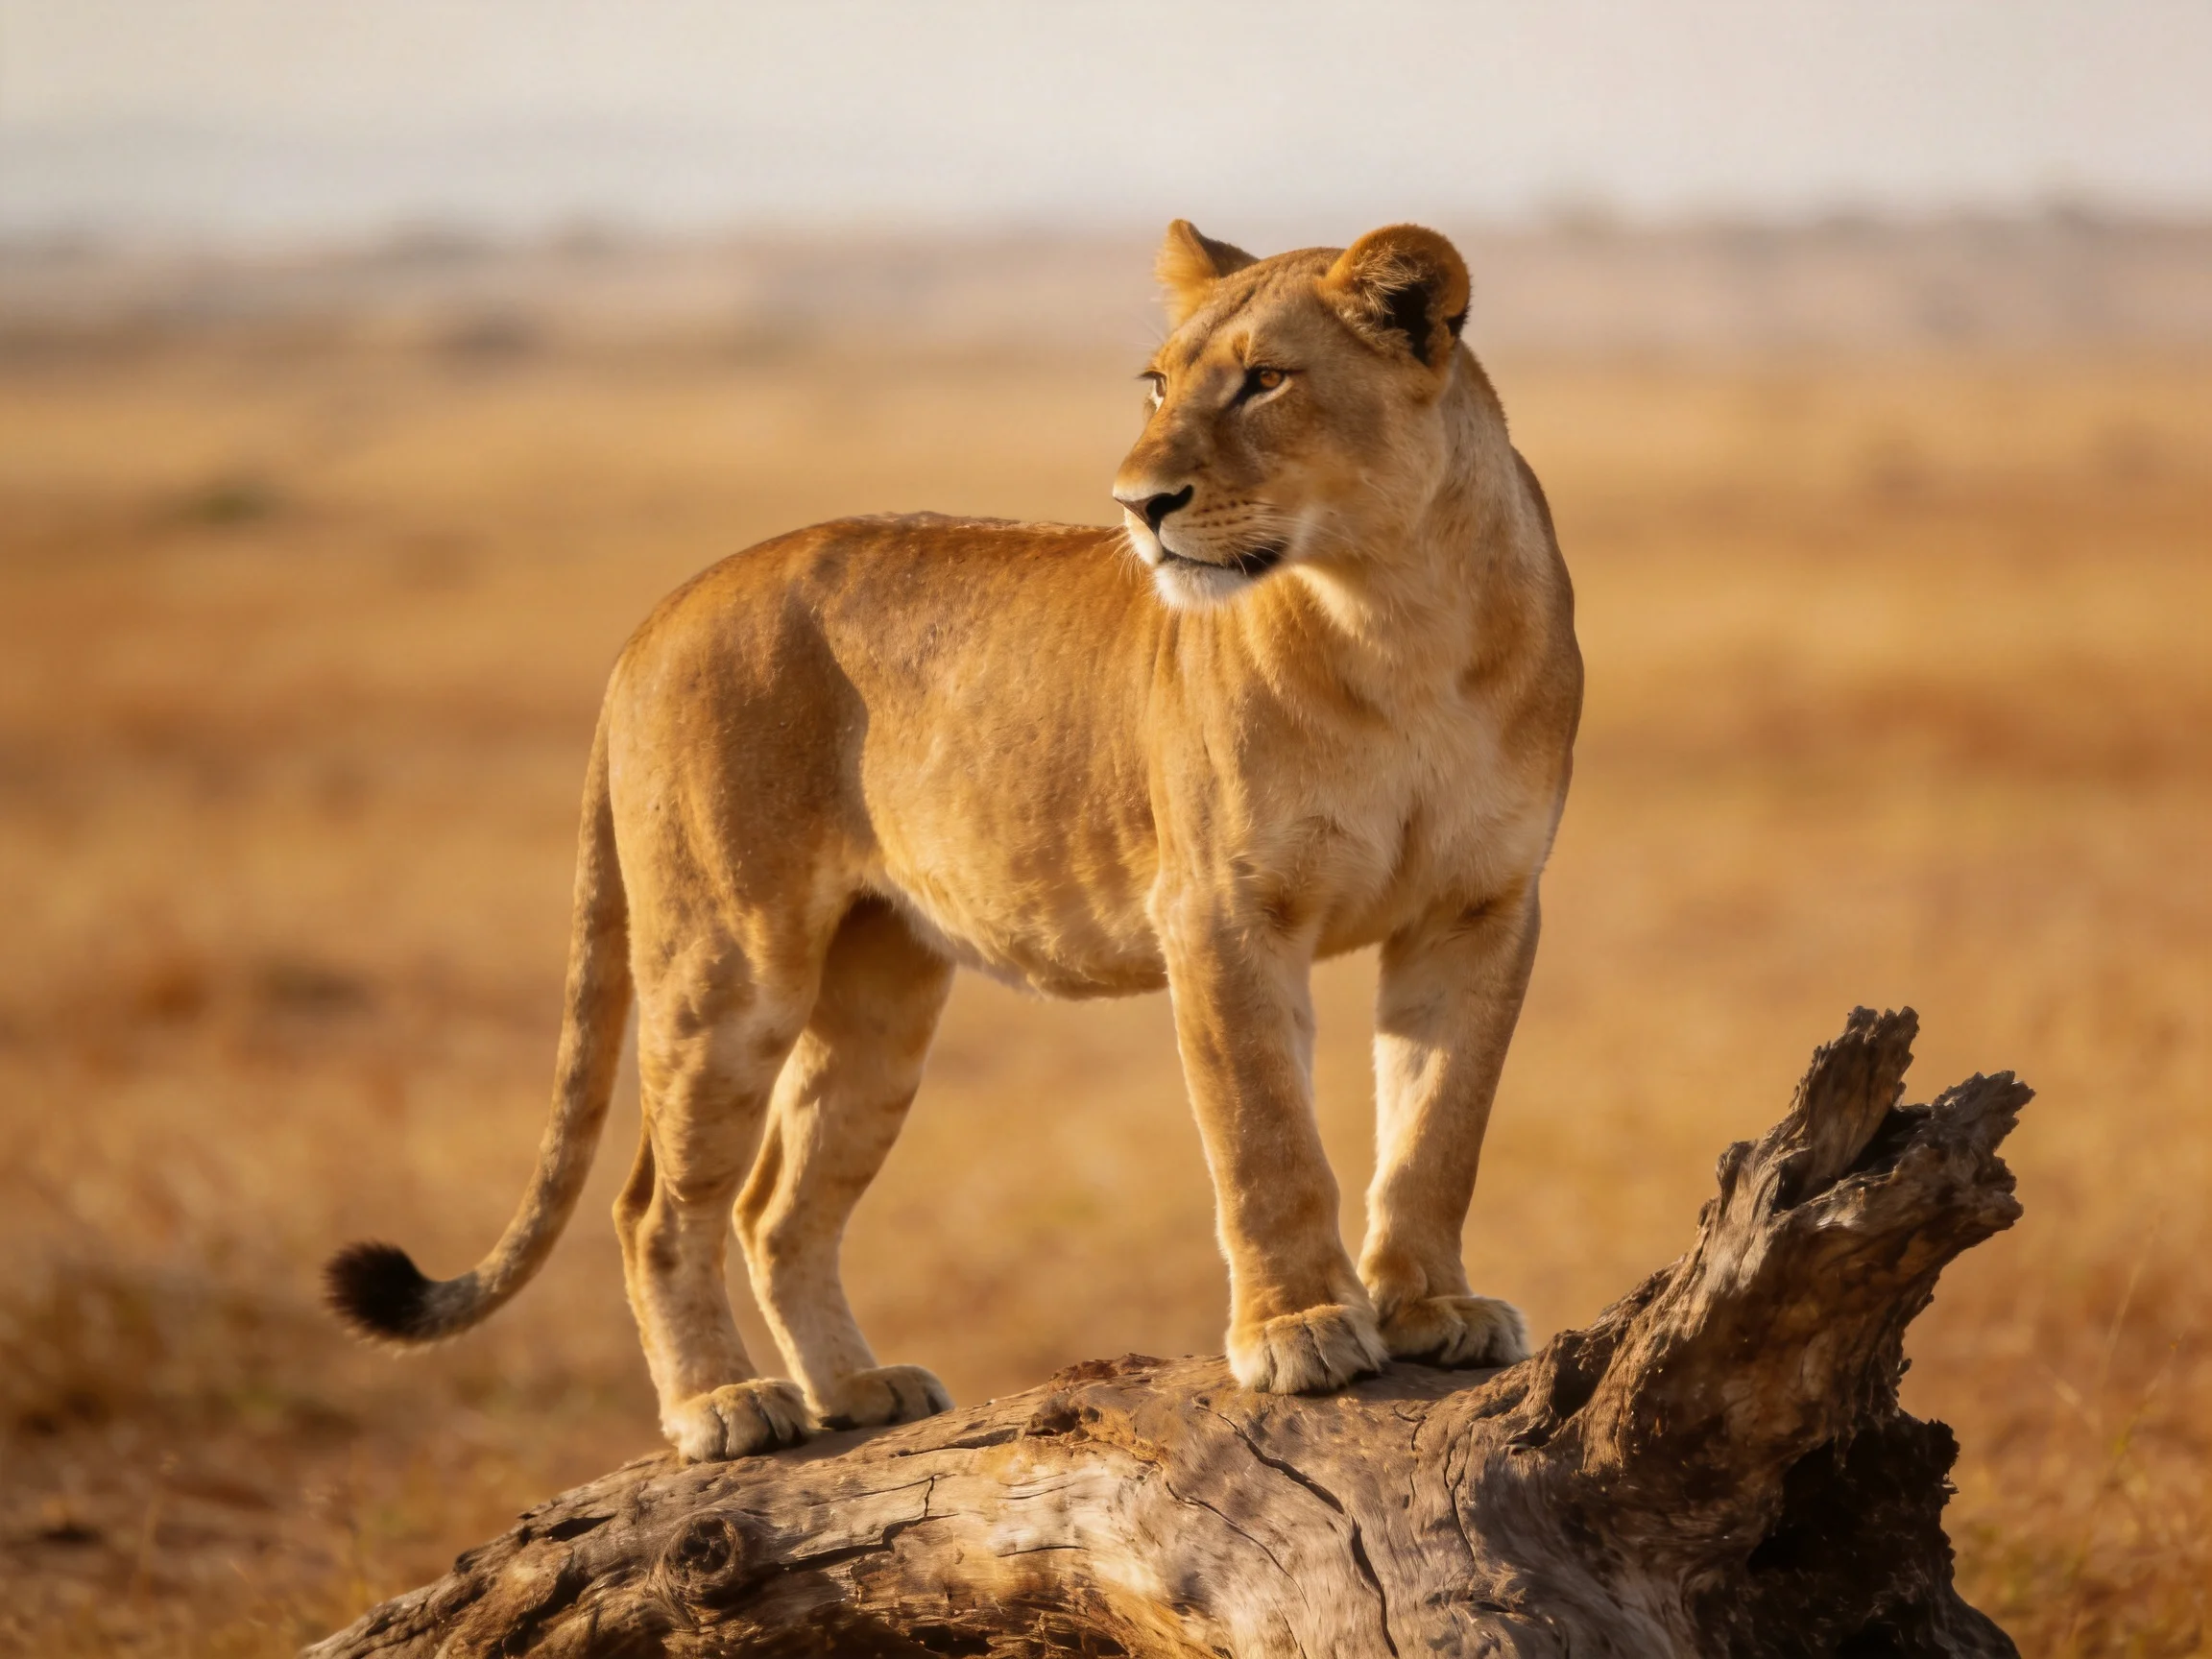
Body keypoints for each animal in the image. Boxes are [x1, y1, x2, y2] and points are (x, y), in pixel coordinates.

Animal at [327, 220, 1582, 1462]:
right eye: (1158, 384)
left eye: (1266, 380)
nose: (1137, 504)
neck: (1398, 617)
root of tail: (663, 612)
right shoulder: (1223, 911)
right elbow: (1265, 1135)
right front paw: (1302, 1328)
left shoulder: (1481, 910)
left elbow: (1439, 1128)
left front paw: (1432, 1308)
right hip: (726, 967)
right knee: (658, 1206)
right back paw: (722, 1406)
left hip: (880, 993)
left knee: (778, 1207)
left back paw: (855, 1387)